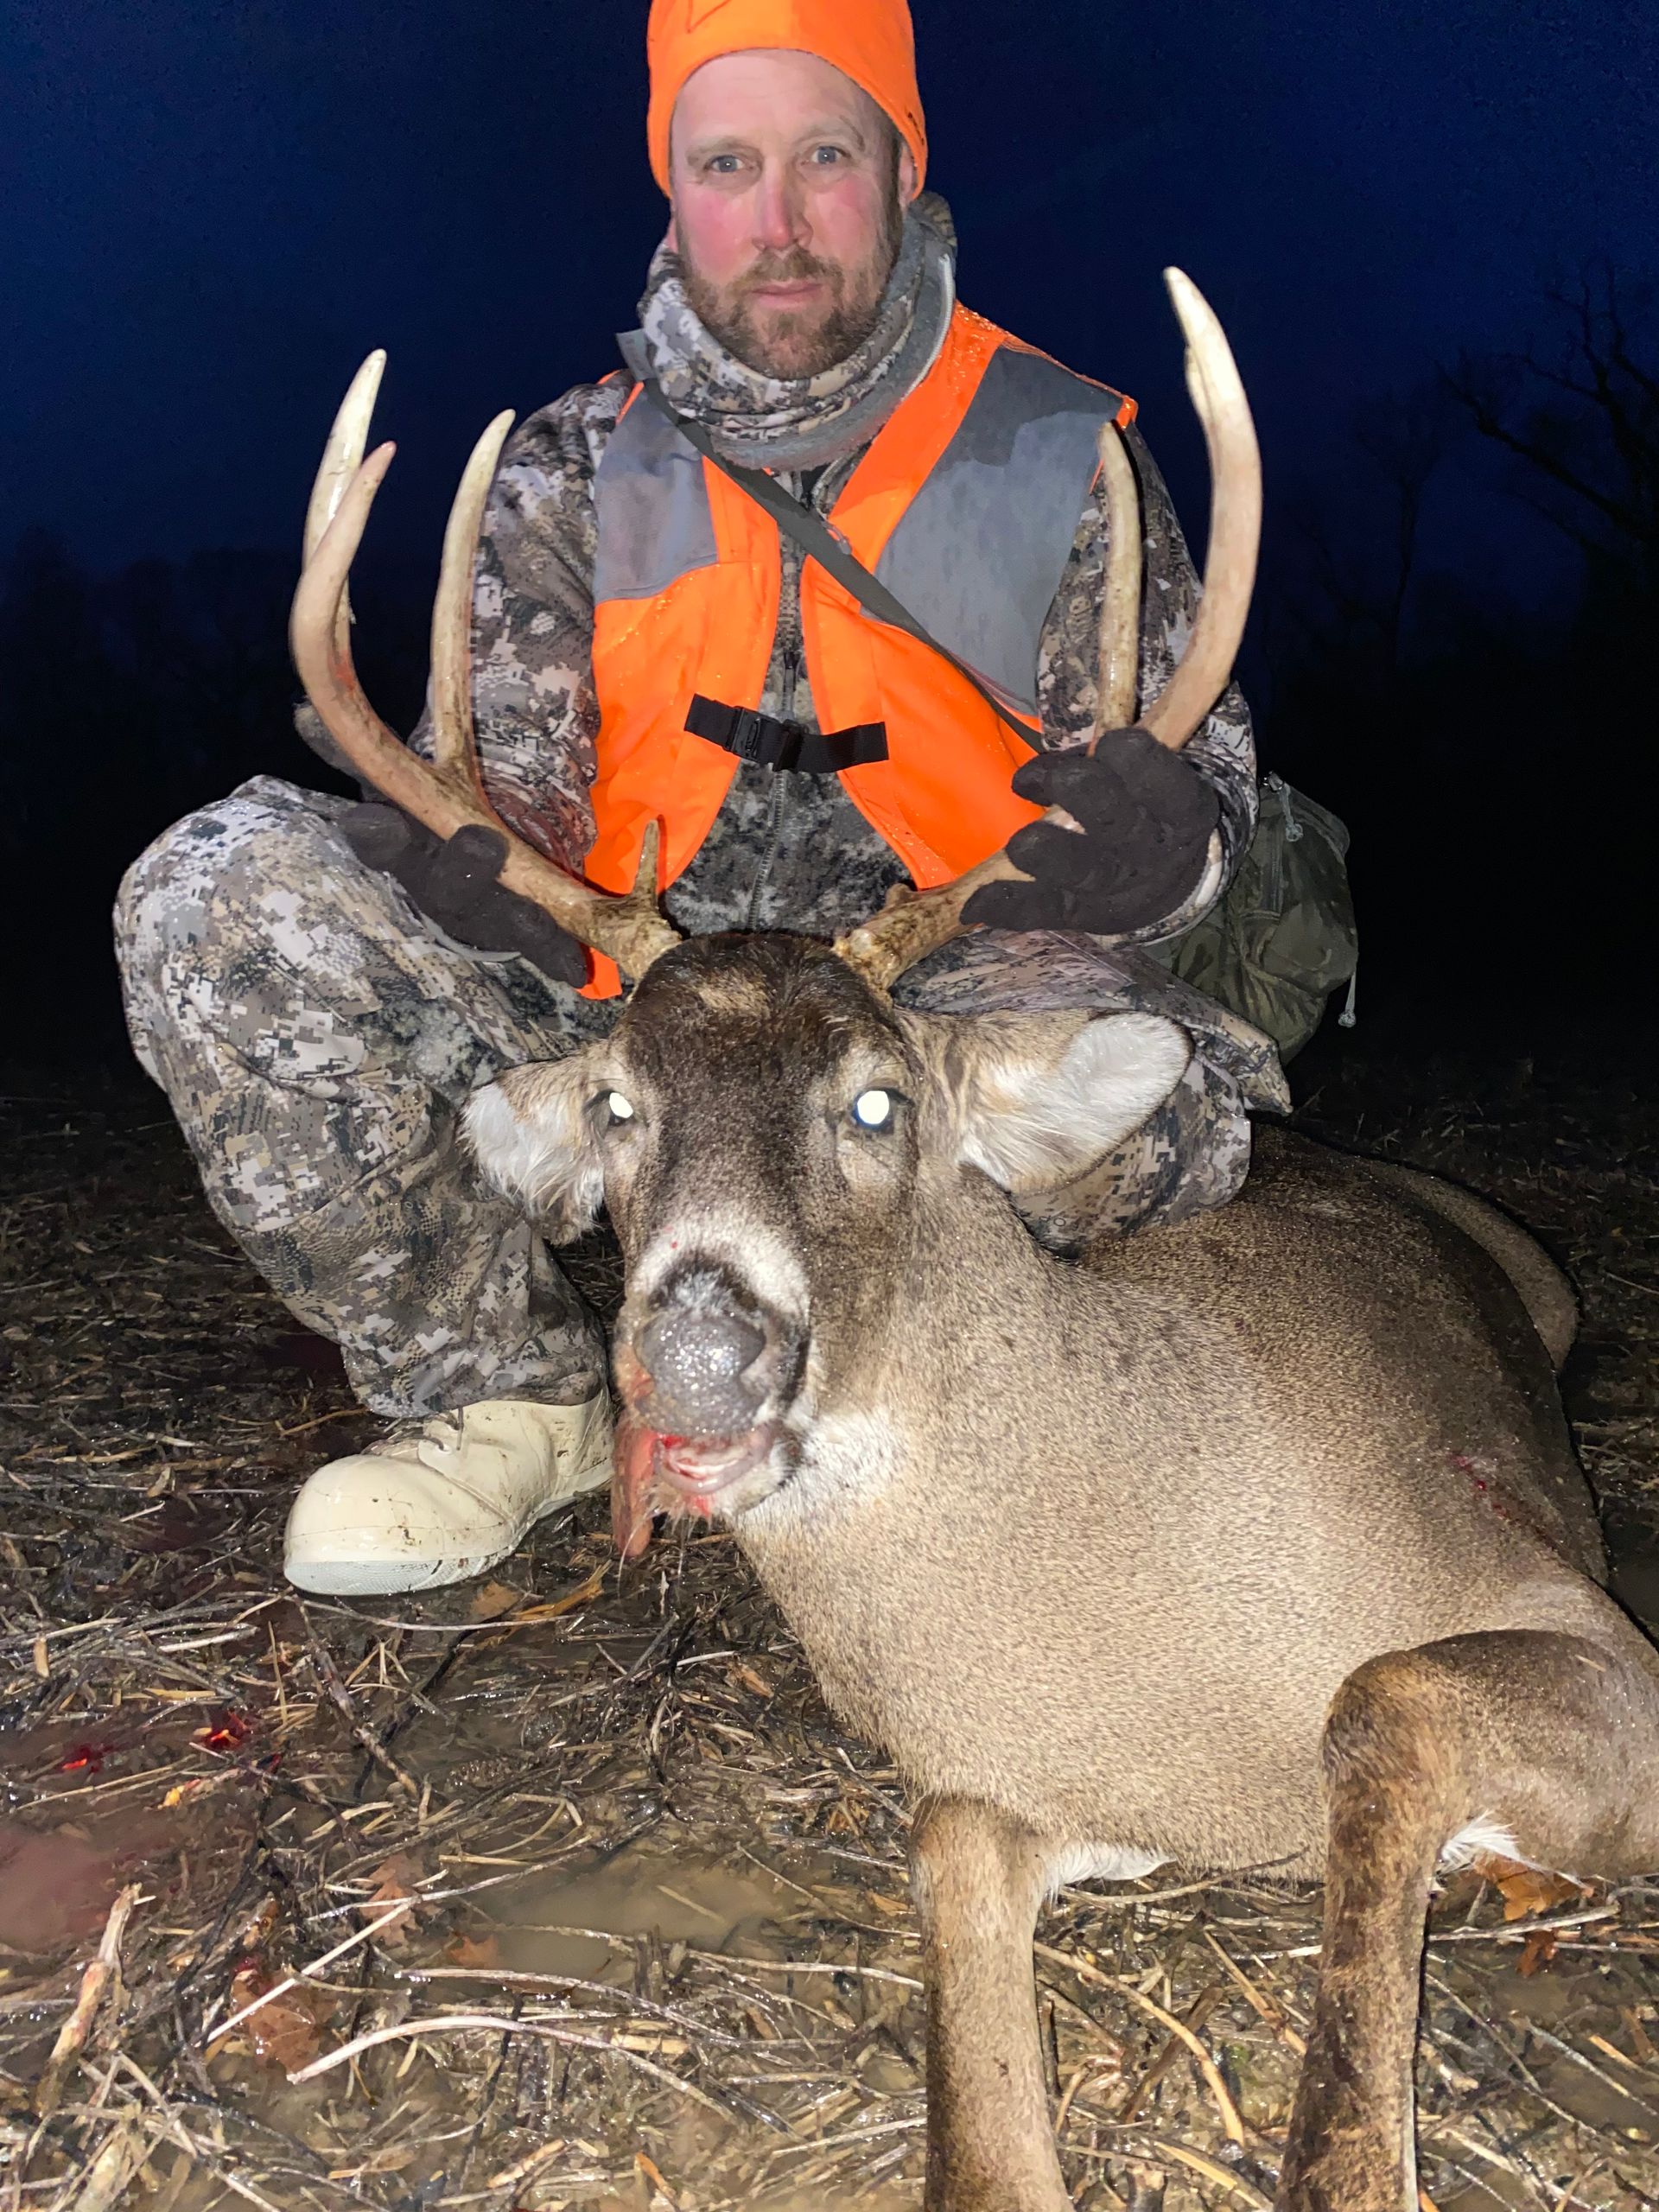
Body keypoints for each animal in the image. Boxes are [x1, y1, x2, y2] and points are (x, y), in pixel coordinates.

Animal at [290, 279, 1659, 2212]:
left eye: (877, 1102)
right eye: (619, 1105)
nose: (696, 1348)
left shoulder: (1574, 1640)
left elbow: (1380, 1714)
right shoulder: (998, 1787)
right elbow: (967, 2026)